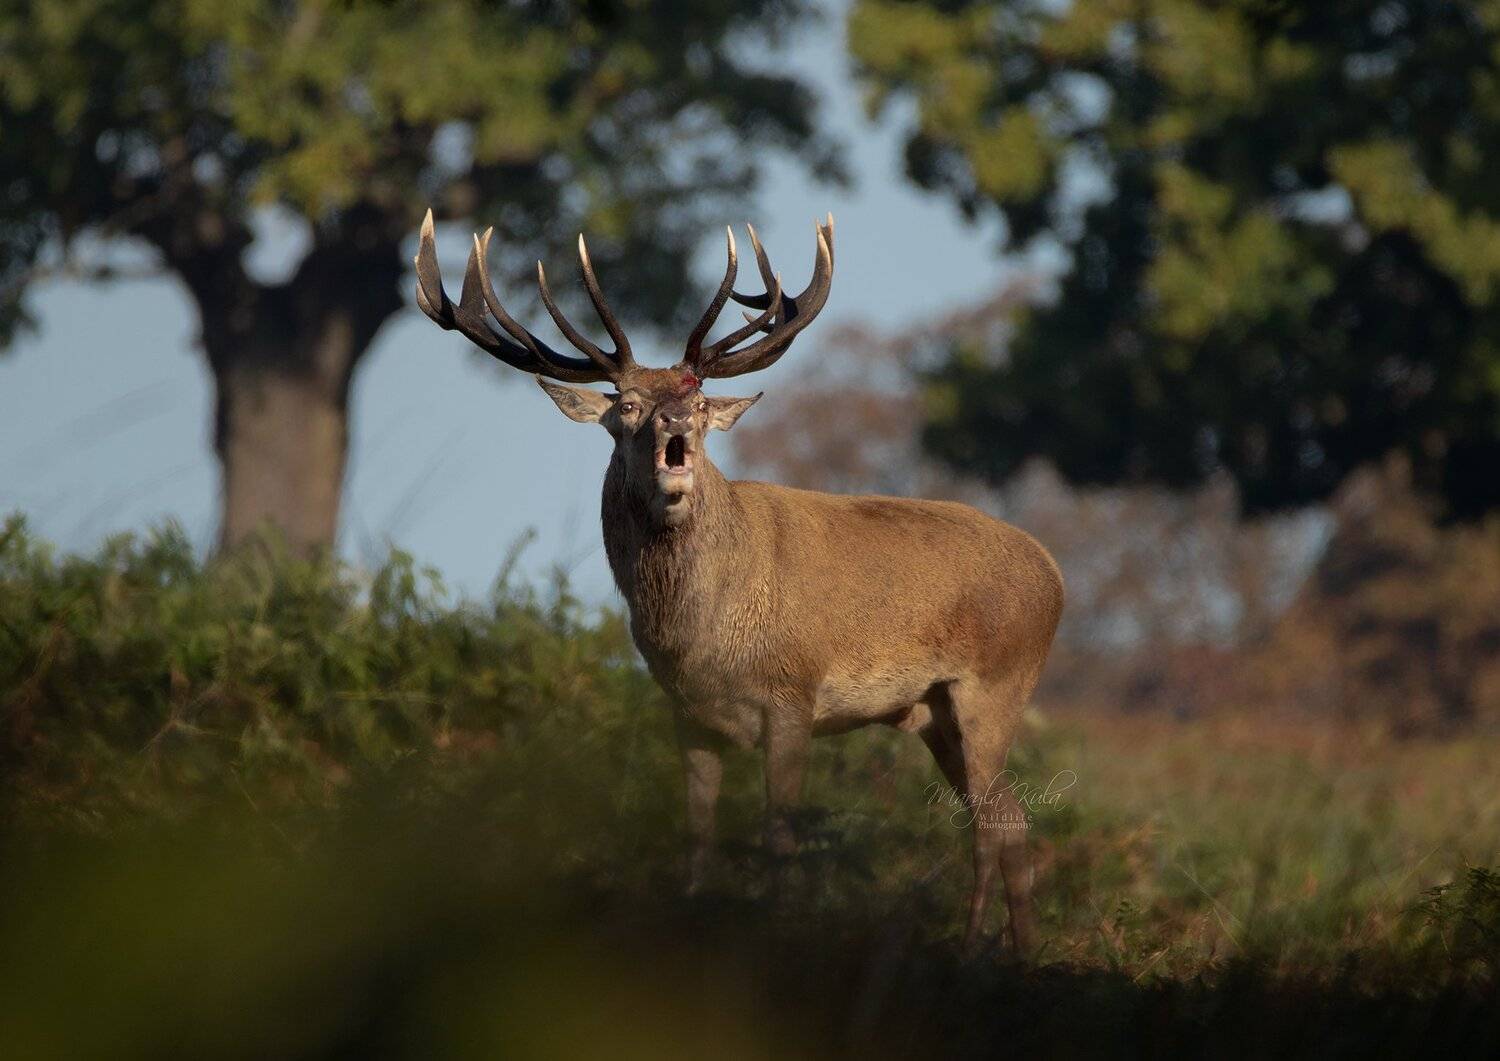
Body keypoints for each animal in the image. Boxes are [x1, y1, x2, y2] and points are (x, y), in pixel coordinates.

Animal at [413, 209, 1064, 954]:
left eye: (698, 404)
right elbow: (698, 834)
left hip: (994, 684)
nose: (674, 424)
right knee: (1013, 818)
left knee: (990, 821)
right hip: (934, 713)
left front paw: (777, 930)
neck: (701, 637)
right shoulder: (686, 712)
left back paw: (972, 945)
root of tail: (1054, 575)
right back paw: (1021, 952)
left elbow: (778, 837)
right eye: (626, 405)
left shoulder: (793, 695)